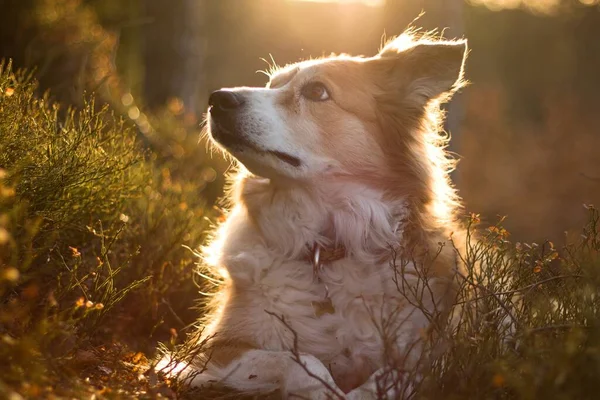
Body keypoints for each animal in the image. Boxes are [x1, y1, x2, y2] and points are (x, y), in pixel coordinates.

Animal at [159, 29, 468, 398]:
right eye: (271, 84)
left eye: (317, 91)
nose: (218, 99)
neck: (327, 248)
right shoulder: (210, 352)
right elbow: (297, 360)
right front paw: (324, 388)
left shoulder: (425, 355)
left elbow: (396, 375)